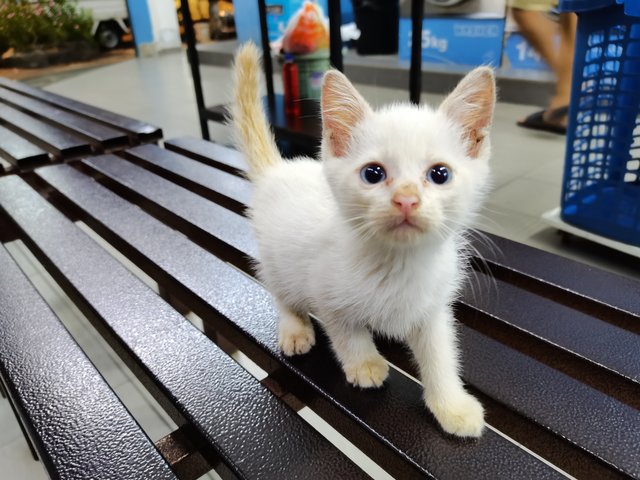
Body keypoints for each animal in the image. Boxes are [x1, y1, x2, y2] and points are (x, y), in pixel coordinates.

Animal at [232, 43, 498, 436]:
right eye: (373, 173)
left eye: (440, 174)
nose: (406, 199)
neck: (398, 262)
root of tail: (278, 170)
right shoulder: (326, 289)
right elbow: (346, 332)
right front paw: (365, 364)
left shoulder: (433, 304)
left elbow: (440, 351)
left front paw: (452, 404)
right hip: (277, 257)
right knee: (281, 291)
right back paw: (295, 328)